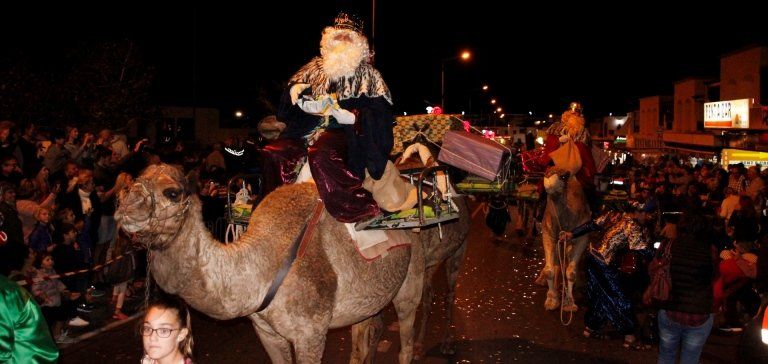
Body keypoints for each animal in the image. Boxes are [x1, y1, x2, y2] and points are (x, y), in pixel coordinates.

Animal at [115, 166, 426, 364]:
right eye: (132, 183)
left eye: (172, 193)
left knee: (407, 334)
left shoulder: (311, 333)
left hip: (413, 274)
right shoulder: (265, 332)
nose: (125, 208)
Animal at [544, 166, 592, 312]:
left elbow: (571, 272)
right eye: (546, 171)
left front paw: (569, 303)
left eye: (564, 176)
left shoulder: (582, 238)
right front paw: (552, 299)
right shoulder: (548, 233)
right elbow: (549, 270)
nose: (548, 180)